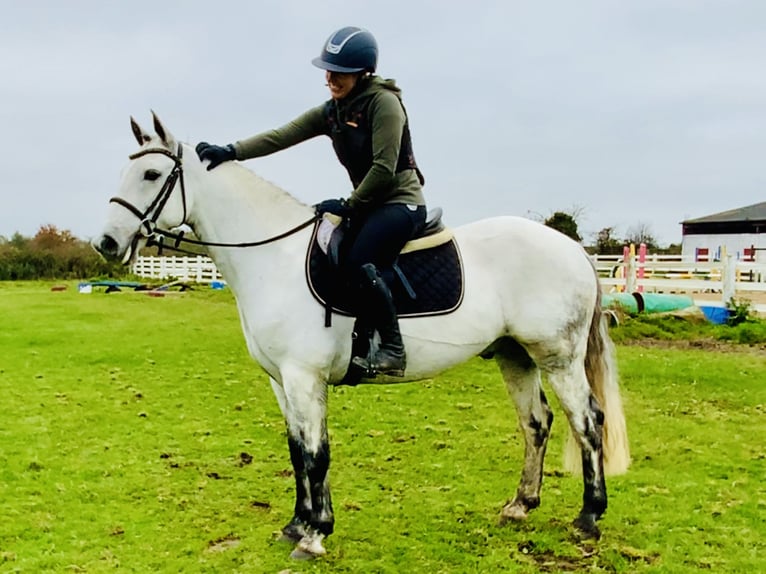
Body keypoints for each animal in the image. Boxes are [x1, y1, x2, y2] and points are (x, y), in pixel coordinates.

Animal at [91, 113, 632, 564]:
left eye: (151, 175)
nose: (107, 244)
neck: (274, 257)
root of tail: (573, 249)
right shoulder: (281, 380)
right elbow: (298, 450)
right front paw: (297, 524)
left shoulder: (303, 376)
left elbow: (316, 453)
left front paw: (315, 535)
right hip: (514, 356)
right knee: (536, 423)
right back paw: (521, 504)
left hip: (558, 358)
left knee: (587, 423)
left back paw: (588, 517)